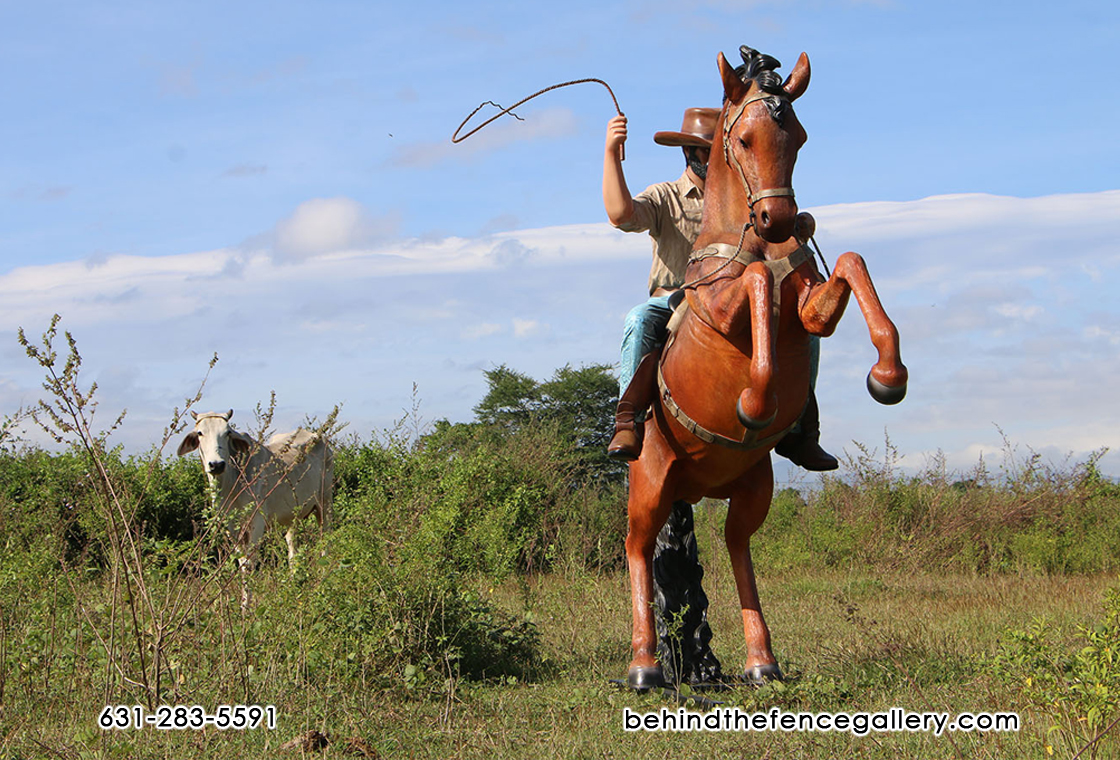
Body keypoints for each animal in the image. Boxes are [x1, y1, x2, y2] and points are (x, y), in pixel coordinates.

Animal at [175, 414, 331, 573]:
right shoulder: (229, 524)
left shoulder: (257, 520)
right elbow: (241, 559)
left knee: (325, 539)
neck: (231, 484)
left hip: (325, 503)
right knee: (292, 545)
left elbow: (249, 562)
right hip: (294, 514)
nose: (217, 464)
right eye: (200, 433)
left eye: (227, 433)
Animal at [627, 46, 904, 689]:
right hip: (649, 484)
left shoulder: (810, 308)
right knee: (637, 548)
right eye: (745, 138)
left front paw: (888, 376)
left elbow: (849, 262)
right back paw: (645, 666)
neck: (747, 238)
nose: (780, 219)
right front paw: (755, 402)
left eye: (797, 136)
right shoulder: (727, 303)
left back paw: (762, 660)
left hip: (751, 487)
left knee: (737, 548)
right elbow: (755, 281)